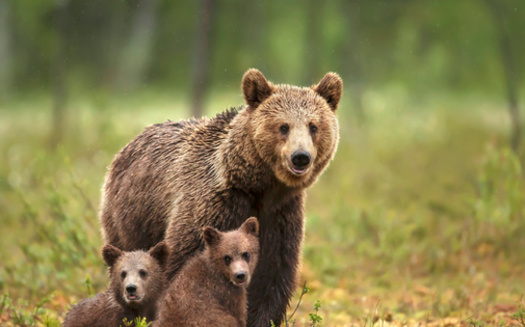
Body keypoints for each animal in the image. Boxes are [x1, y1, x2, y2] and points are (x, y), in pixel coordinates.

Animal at [100, 68, 342, 326]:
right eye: (283, 126)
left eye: (313, 126)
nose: (301, 157)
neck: (259, 187)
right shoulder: (213, 206)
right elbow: (183, 266)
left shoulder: (281, 217)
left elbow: (271, 280)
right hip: (131, 217)